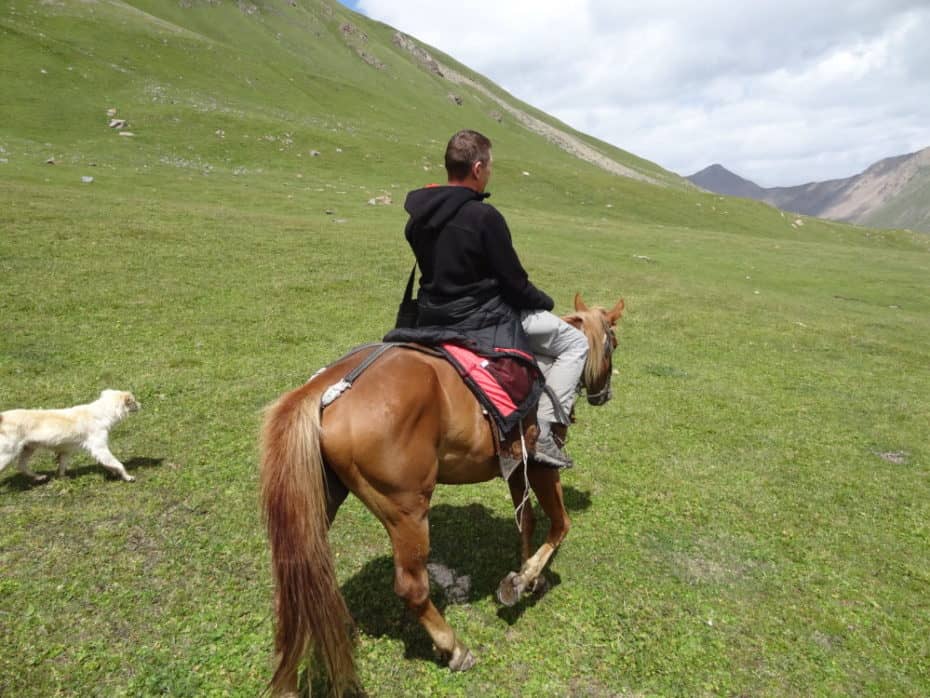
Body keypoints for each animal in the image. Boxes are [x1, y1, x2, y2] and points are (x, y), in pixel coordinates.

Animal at [0, 388, 141, 482]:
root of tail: (2, 417)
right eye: (134, 401)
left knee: (22, 466)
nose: (142, 404)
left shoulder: (66, 451)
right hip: (8, 454)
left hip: (28, 449)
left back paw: (39, 477)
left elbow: (62, 467)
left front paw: (62, 478)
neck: (101, 413)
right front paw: (128, 477)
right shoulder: (99, 449)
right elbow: (117, 463)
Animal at [260, 292, 624, 692]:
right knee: (411, 587)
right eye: (614, 345)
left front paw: (526, 575)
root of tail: (325, 387)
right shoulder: (542, 467)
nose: (604, 395)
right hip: (406, 511)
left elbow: (525, 522)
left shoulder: (516, 466)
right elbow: (560, 525)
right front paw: (525, 578)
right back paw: (454, 648)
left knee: (292, 587)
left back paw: (287, 680)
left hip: (317, 502)